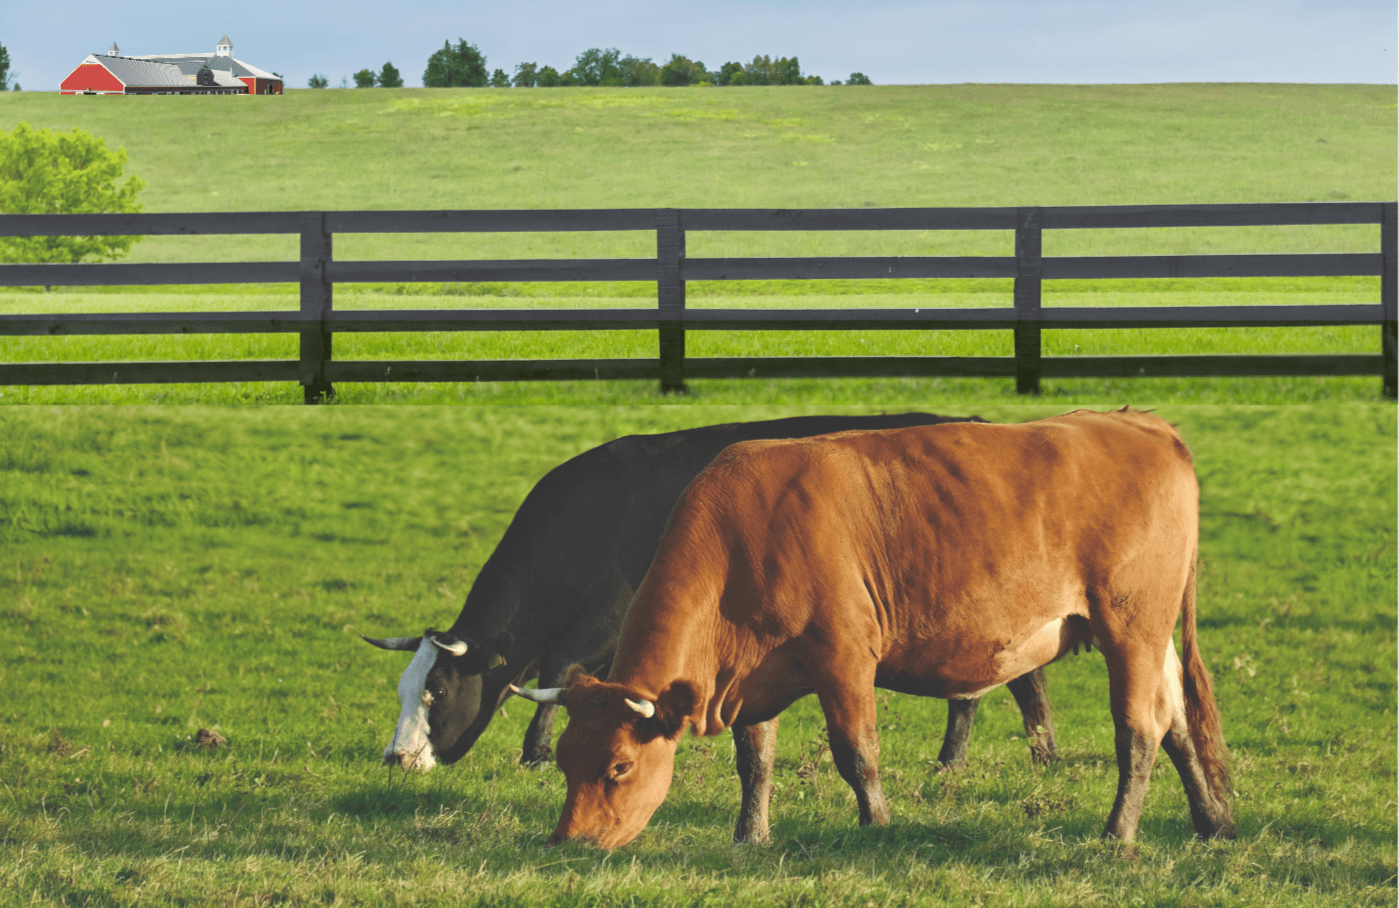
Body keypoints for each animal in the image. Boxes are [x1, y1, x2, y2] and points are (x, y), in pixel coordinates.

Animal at [362, 413, 1060, 844]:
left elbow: (559, 674)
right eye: (402, 689)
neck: (589, 515)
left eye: (437, 692)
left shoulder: (603, 620)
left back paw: (1021, 758)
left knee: (1017, 681)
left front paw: (532, 753)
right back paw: (975, 760)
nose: (396, 758)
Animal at [511, 409, 1236, 849]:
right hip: (1152, 635)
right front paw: (751, 835)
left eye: (619, 766)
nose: (568, 841)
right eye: (564, 761)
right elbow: (755, 761)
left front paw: (877, 825)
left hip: (1129, 627)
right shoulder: (750, 679)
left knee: (1138, 729)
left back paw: (1119, 831)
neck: (744, 537)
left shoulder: (845, 658)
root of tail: (1137, 422)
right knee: (1175, 721)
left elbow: (856, 751)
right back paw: (1209, 819)